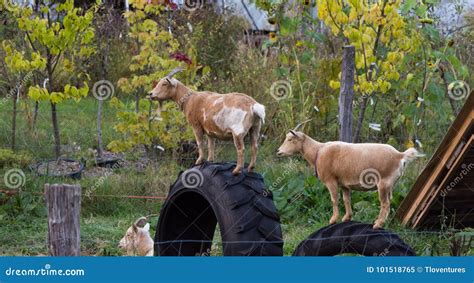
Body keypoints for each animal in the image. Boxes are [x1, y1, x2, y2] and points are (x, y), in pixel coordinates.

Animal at [276, 121, 424, 230]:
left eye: (290, 139)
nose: (278, 151)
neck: (318, 151)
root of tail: (400, 155)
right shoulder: (344, 184)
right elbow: (346, 199)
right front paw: (347, 217)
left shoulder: (331, 181)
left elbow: (334, 200)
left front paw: (333, 220)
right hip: (389, 186)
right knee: (388, 202)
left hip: (383, 183)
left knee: (385, 204)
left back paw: (377, 224)